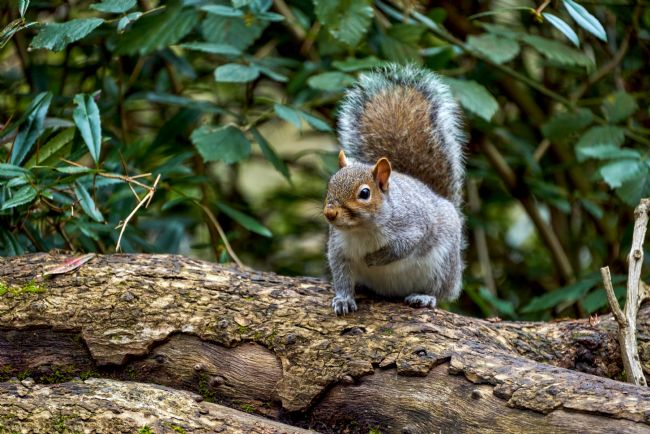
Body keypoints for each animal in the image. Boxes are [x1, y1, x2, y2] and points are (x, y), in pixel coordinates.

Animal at [323, 64, 466, 315]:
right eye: (330, 184)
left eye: (364, 193)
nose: (329, 213)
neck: (362, 229)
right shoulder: (338, 249)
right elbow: (341, 277)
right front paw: (343, 299)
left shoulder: (414, 226)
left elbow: (402, 247)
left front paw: (374, 259)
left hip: (444, 263)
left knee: (440, 290)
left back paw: (425, 296)